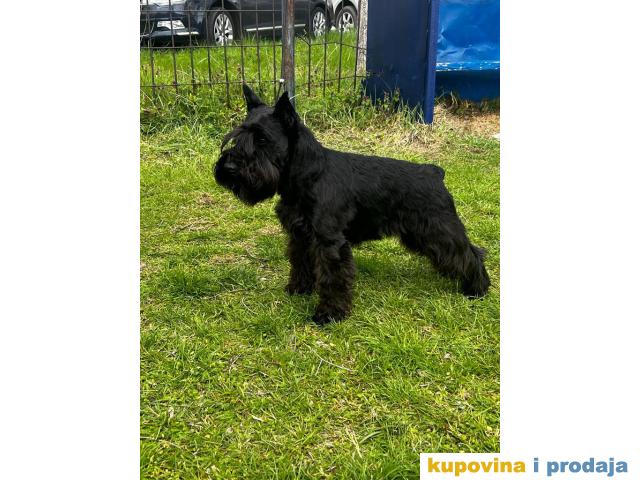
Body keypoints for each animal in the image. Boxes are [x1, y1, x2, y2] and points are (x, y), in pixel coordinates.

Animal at [214, 85, 490, 325]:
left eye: (262, 139)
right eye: (236, 137)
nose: (230, 167)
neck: (309, 175)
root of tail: (435, 173)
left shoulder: (330, 243)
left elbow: (333, 280)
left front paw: (329, 315)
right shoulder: (300, 235)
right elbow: (300, 263)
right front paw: (298, 289)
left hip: (439, 229)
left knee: (471, 253)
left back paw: (478, 289)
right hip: (420, 235)